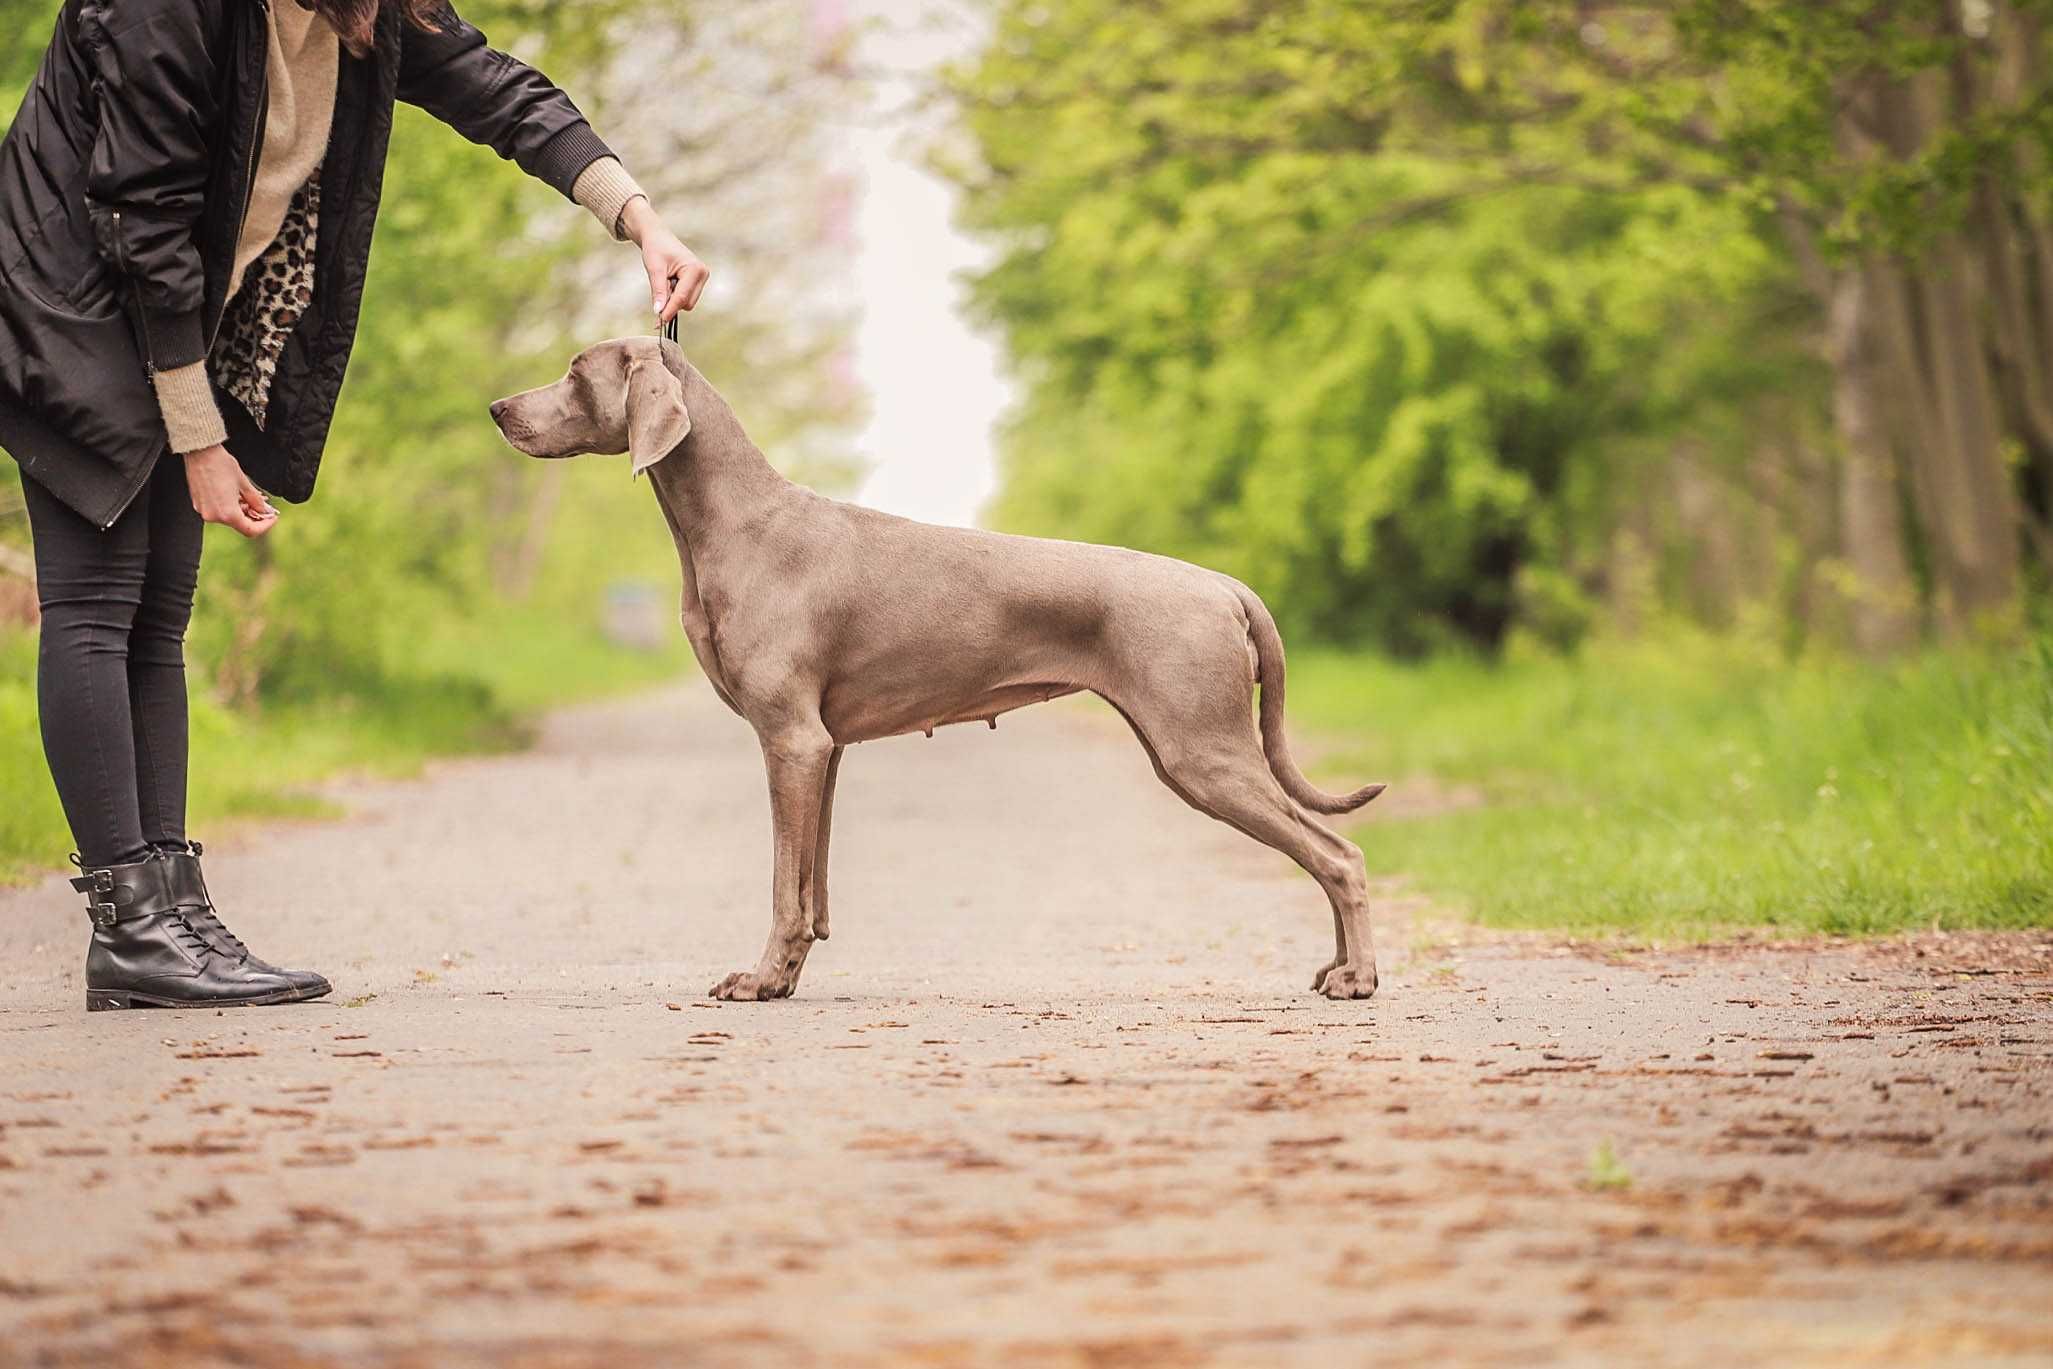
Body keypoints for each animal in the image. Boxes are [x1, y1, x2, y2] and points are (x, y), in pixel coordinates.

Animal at [488, 340, 1387, 1005]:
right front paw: (786, 976)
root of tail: (1226, 586)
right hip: (1195, 750)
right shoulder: (822, 748)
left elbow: (782, 883)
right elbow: (810, 885)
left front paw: (759, 979)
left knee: (1339, 855)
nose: (498, 409)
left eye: (575, 371)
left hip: (1203, 750)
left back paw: (1357, 978)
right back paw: (1338, 969)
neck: (738, 522)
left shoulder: (789, 739)